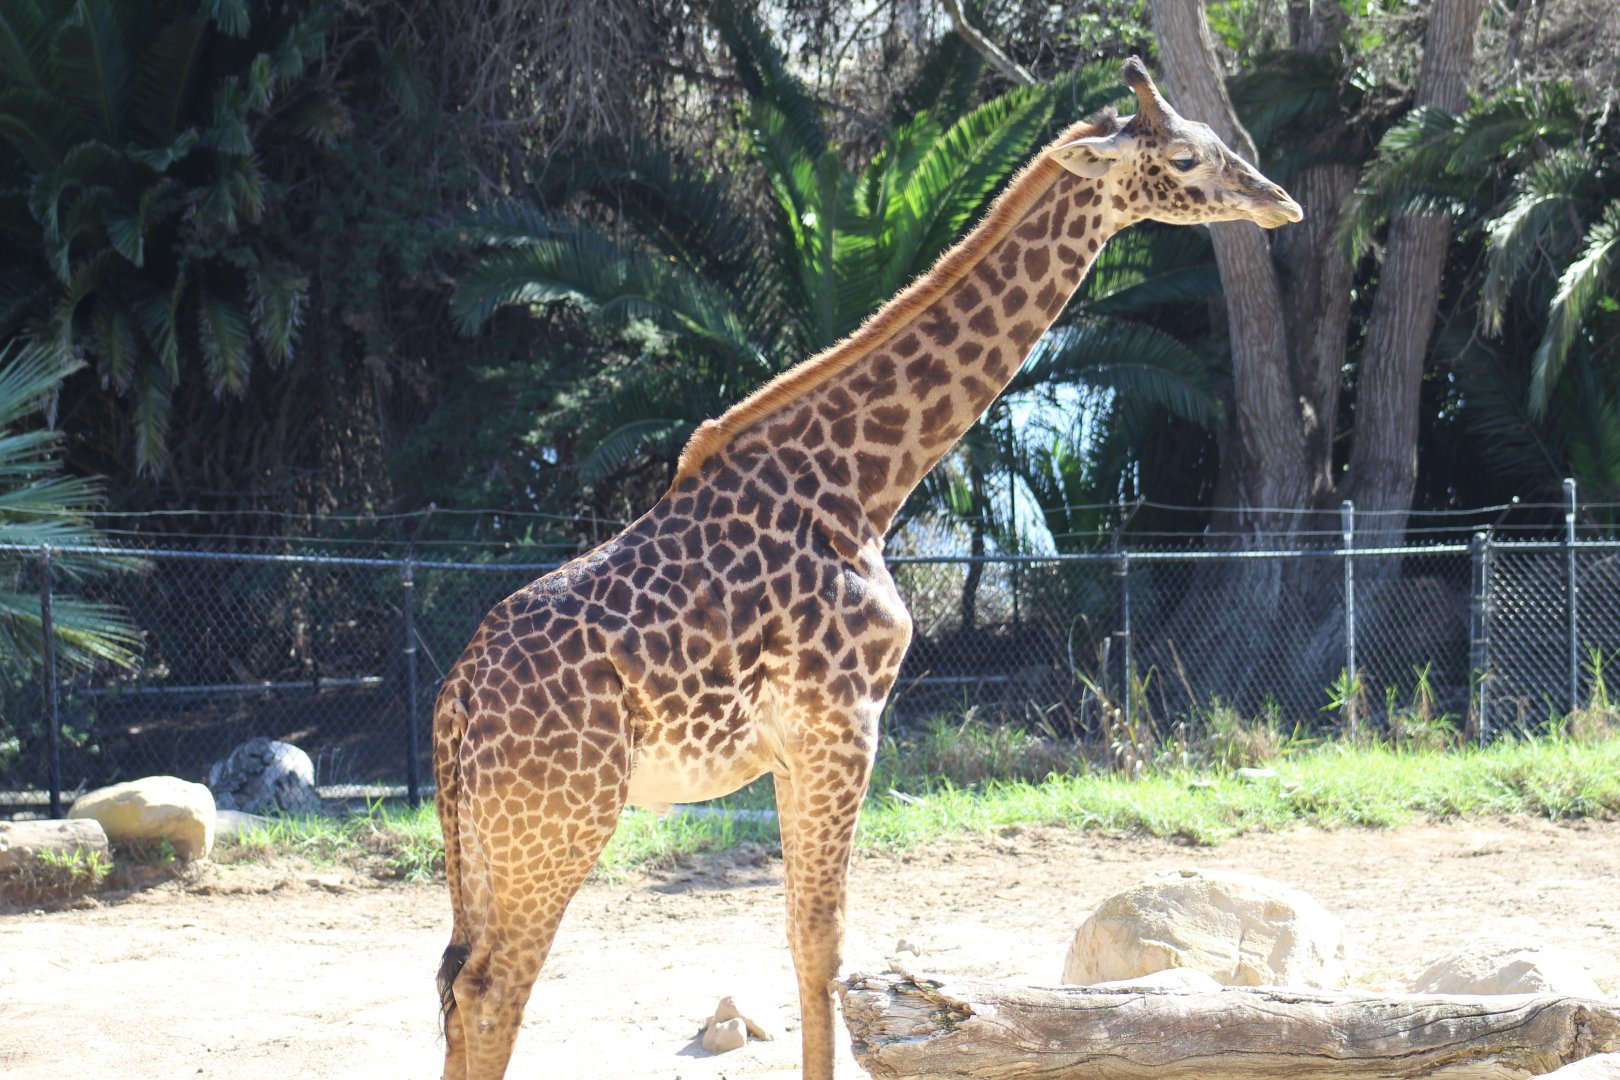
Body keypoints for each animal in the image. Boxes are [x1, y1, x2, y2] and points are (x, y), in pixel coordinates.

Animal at [433, 57, 1301, 1080]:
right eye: (1186, 156)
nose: (1279, 201)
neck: (866, 484)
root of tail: (453, 708)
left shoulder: (796, 746)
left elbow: (805, 940)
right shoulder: (844, 724)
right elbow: (825, 944)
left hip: (491, 839)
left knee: (457, 982)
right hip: (561, 819)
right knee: (494, 989)